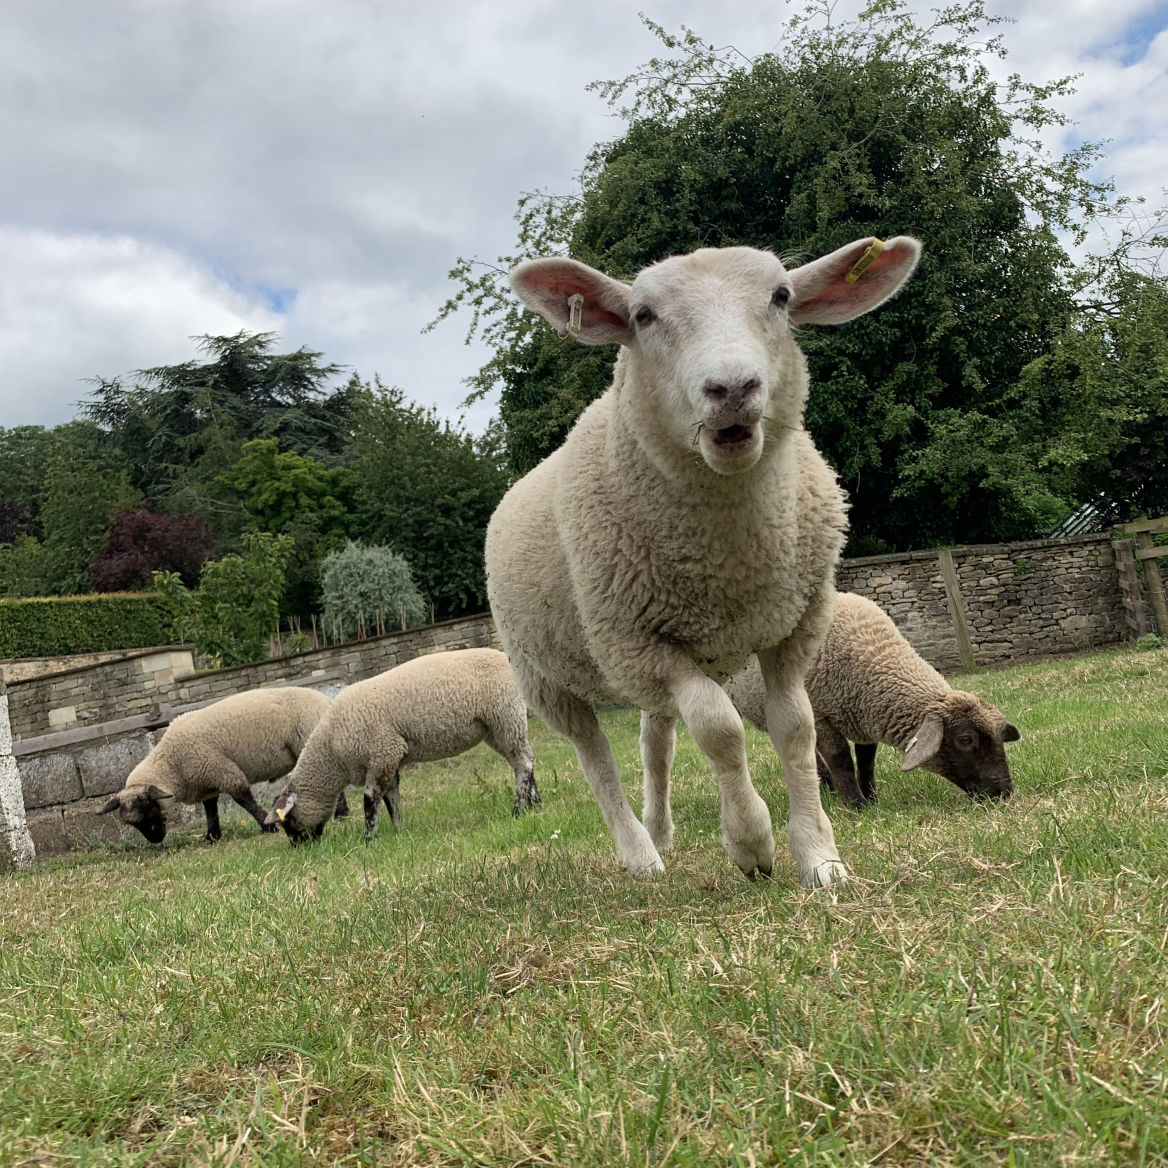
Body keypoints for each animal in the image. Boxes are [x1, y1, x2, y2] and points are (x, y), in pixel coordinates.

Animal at [96, 682, 338, 840]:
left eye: (148, 807)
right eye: (131, 823)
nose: (155, 840)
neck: (171, 763)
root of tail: (326, 700)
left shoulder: (222, 770)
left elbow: (244, 800)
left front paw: (266, 826)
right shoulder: (207, 781)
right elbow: (210, 810)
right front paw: (212, 836)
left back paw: (340, 813)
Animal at [266, 649, 537, 840]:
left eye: (289, 821)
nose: (300, 846)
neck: (332, 750)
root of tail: (504, 656)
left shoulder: (383, 751)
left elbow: (370, 800)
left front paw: (368, 838)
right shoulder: (389, 758)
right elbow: (391, 798)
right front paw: (399, 830)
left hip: (505, 716)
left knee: (523, 763)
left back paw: (518, 810)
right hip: (496, 727)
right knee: (524, 760)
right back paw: (535, 803)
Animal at [485, 234, 920, 883]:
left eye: (781, 296)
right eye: (643, 315)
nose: (733, 388)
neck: (729, 561)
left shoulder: (796, 627)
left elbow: (797, 730)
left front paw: (820, 858)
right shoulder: (639, 643)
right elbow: (719, 732)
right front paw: (752, 844)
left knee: (655, 741)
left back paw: (662, 833)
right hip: (547, 676)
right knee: (597, 759)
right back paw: (641, 855)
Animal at [714, 593, 1018, 803]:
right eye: (965, 740)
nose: (1004, 792)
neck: (873, 650)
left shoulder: (865, 714)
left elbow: (866, 759)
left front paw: (871, 797)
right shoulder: (821, 714)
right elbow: (841, 759)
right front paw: (855, 804)